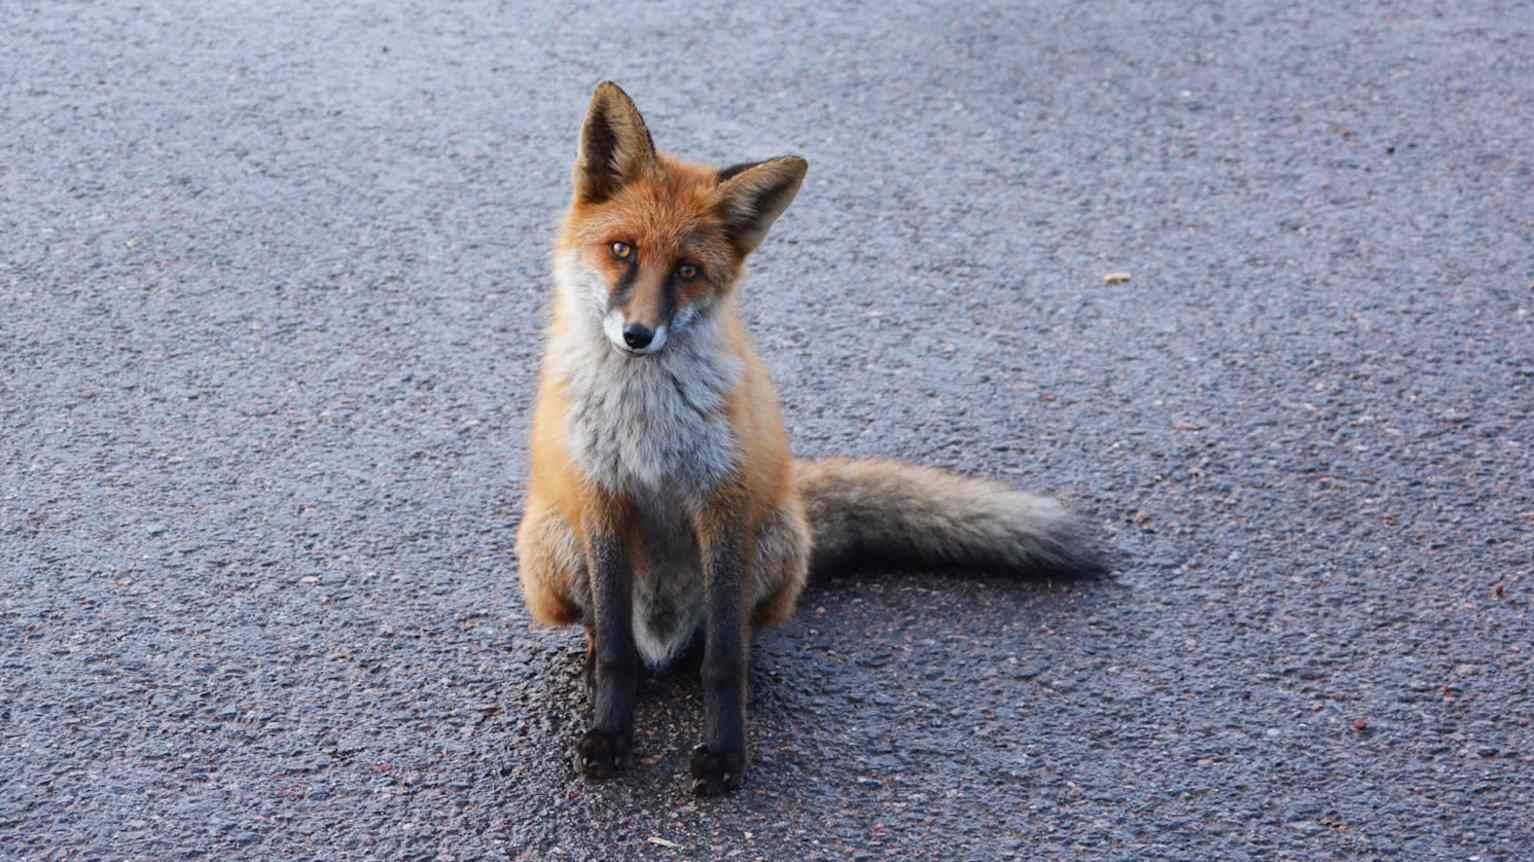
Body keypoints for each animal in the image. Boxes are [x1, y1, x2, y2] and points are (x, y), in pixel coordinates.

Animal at [518, 83, 1104, 797]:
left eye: (687, 270)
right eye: (622, 250)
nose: (637, 335)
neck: (645, 418)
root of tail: (666, 634)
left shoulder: (723, 503)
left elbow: (723, 662)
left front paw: (727, 753)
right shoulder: (602, 497)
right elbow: (618, 660)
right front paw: (609, 734)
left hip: (774, 541)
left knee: (727, 636)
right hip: (551, 546)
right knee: (610, 633)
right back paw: (601, 650)